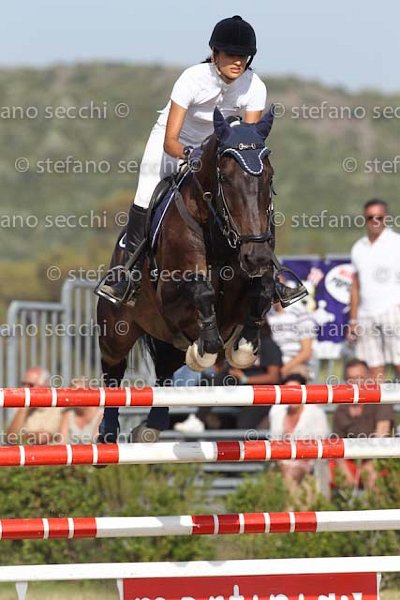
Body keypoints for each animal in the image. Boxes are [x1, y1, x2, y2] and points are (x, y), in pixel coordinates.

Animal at [96, 106, 282, 440]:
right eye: (225, 178)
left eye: (269, 178)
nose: (257, 256)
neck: (218, 234)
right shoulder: (171, 298)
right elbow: (202, 290)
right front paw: (206, 348)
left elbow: (262, 290)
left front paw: (243, 348)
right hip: (117, 330)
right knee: (113, 372)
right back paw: (107, 433)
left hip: (170, 339)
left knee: (165, 372)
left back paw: (152, 425)